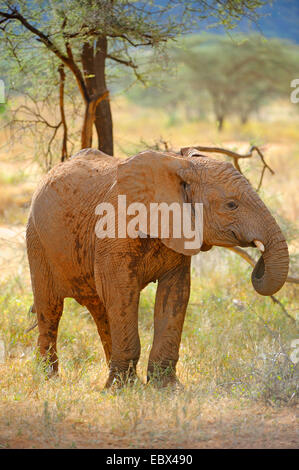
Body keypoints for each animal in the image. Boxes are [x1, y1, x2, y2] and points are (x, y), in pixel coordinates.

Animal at [27, 148, 290, 390]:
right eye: (231, 204)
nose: (259, 259)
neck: (180, 166)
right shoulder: (115, 229)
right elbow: (121, 292)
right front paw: (123, 391)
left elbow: (175, 294)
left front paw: (166, 388)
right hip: (37, 240)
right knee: (51, 308)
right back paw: (51, 380)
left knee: (100, 311)